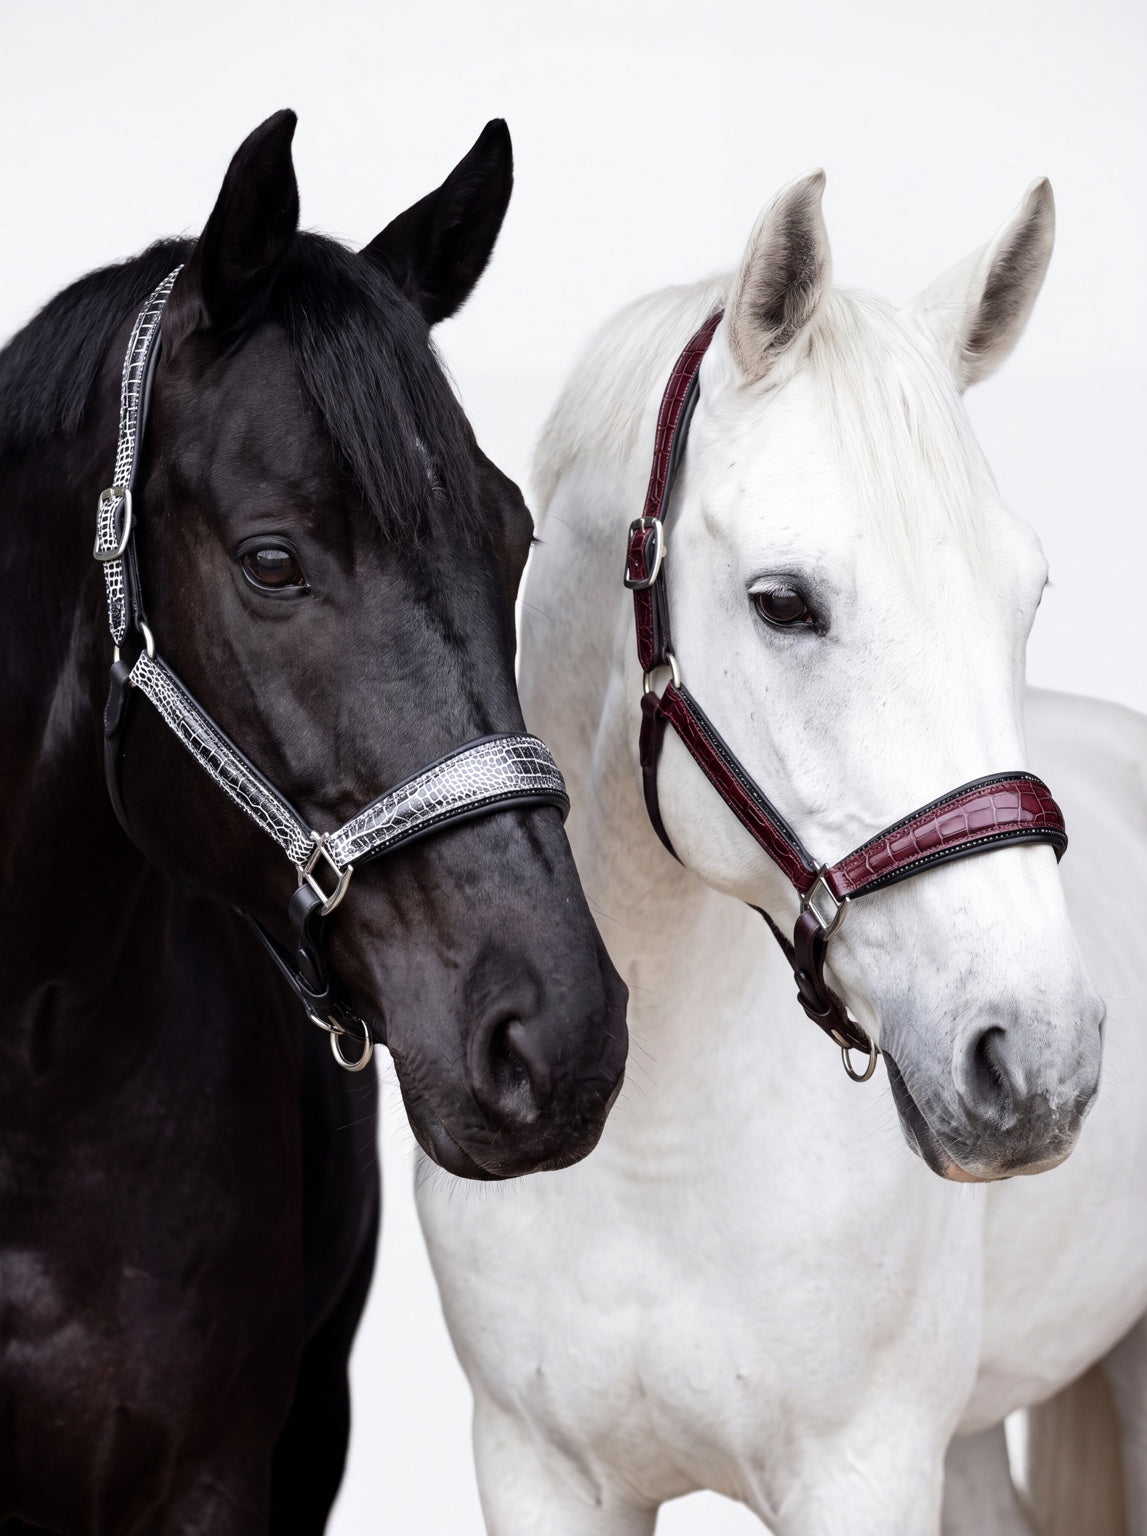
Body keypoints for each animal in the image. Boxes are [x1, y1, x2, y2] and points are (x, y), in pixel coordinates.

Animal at [416, 171, 1147, 1534]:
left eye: (1026, 596)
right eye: (782, 602)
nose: (1039, 1062)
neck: (652, 1149)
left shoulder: (863, 1468)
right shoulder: (534, 1469)